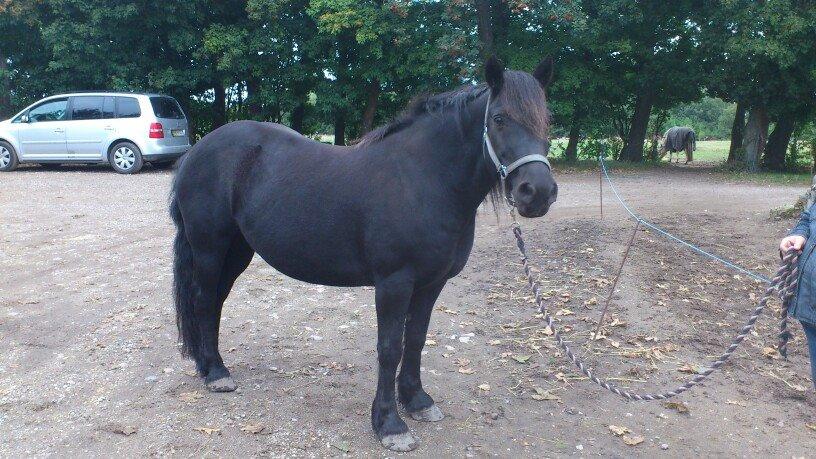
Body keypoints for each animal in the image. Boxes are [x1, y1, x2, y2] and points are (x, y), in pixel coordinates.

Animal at [169, 57, 556, 452]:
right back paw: (216, 373)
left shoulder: (432, 283)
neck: (424, 179)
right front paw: (390, 424)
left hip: (236, 251)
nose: (538, 192)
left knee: (215, 301)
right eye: (499, 118)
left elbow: (416, 339)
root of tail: (195, 152)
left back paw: (207, 365)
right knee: (203, 300)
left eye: (547, 119)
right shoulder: (393, 284)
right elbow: (390, 348)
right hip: (209, 247)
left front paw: (417, 401)